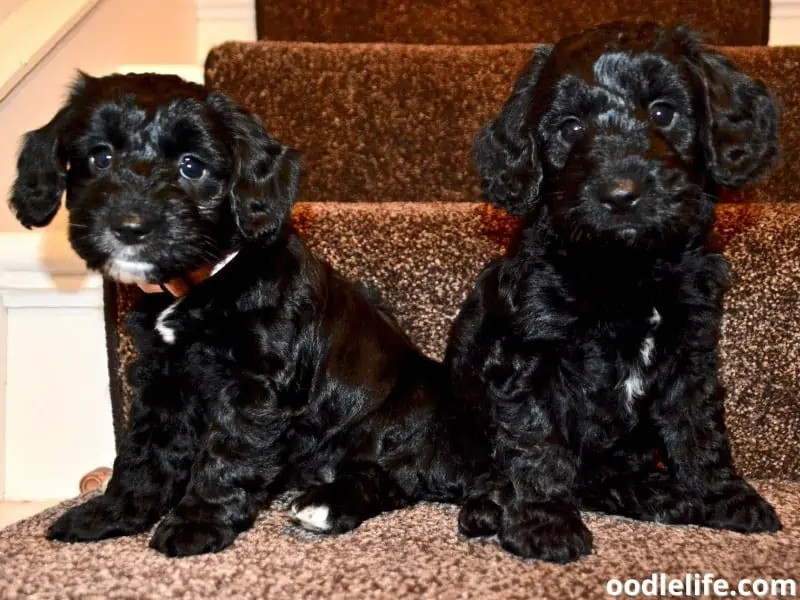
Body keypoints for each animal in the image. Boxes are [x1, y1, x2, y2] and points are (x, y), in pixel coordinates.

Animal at [10, 74, 482, 556]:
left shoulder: (255, 385)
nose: (130, 226)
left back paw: (325, 505)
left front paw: (196, 524)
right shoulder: (162, 379)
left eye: (192, 167)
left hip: (402, 414)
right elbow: (145, 451)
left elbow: (229, 454)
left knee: (394, 474)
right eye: (100, 157)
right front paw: (114, 513)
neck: (204, 282)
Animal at [446, 22, 784, 564]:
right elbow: (537, 441)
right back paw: (490, 507)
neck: (627, 267)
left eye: (663, 112)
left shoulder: (691, 350)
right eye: (569, 128)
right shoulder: (528, 354)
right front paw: (545, 523)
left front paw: (725, 496)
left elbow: (700, 427)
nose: (620, 194)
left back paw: (658, 493)